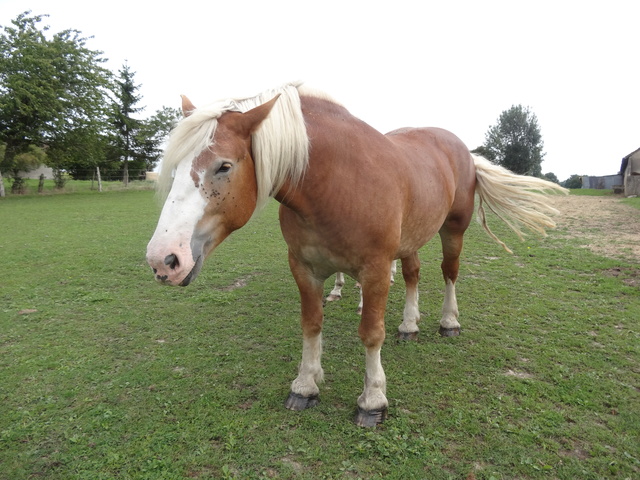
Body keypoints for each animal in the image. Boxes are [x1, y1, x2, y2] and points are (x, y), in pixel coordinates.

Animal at [148, 82, 568, 428]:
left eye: (224, 166)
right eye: (175, 167)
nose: (163, 259)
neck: (336, 182)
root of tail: (462, 148)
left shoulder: (377, 269)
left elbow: (370, 332)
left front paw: (372, 400)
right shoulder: (304, 268)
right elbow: (311, 324)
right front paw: (305, 386)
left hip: (454, 229)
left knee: (450, 272)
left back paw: (449, 322)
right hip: (411, 239)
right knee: (413, 275)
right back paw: (409, 325)